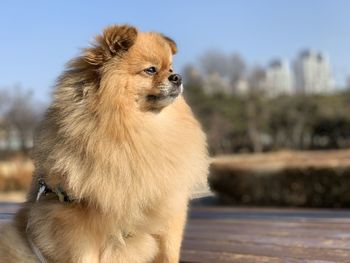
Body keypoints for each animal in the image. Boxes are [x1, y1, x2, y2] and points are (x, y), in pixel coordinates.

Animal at [0, 25, 208, 263]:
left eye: (171, 68)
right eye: (151, 70)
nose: (178, 77)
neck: (137, 130)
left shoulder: (169, 211)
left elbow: (168, 252)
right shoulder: (78, 226)